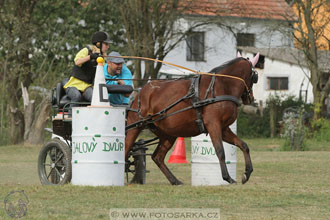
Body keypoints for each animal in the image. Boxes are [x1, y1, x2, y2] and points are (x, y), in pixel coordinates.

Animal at [125, 52, 260, 185]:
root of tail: (141, 92)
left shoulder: (224, 129)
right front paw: (227, 177)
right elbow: (220, 151)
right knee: (126, 149)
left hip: (168, 134)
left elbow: (243, 145)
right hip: (135, 127)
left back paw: (174, 180)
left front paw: (247, 173)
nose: (251, 98)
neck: (222, 86)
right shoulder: (213, 125)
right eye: (255, 77)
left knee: (157, 157)